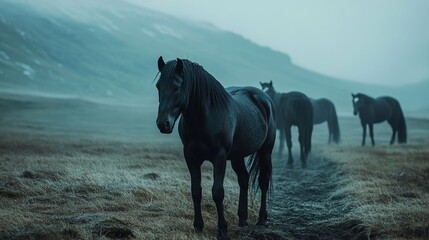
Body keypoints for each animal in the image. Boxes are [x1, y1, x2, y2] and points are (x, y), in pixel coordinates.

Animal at [155, 56, 276, 240]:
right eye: (158, 86)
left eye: (176, 87)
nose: (163, 124)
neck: (204, 119)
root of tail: (264, 98)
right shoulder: (191, 158)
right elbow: (196, 191)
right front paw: (198, 226)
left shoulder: (219, 158)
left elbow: (218, 192)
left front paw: (222, 230)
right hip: (237, 155)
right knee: (244, 178)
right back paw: (242, 219)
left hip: (265, 151)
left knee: (263, 180)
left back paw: (261, 220)